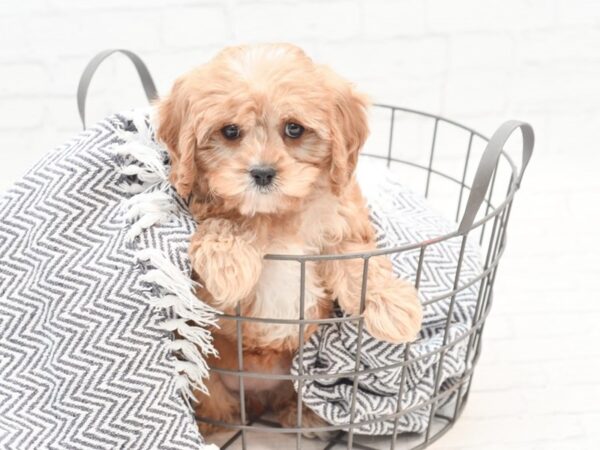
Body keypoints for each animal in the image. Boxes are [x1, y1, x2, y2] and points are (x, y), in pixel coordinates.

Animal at [157, 44, 424, 438]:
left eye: (294, 129)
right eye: (230, 131)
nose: (263, 173)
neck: (277, 213)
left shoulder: (341, 226)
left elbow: (359, 264)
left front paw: (393, 308)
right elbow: (225, 225)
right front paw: (228, 263)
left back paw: (308, 417)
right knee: (214, 399)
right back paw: (215, 424)